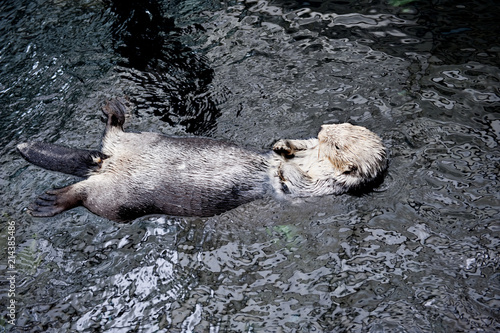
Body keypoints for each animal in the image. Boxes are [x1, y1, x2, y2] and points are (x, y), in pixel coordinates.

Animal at [17, 100, 386, 222]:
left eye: (337, 144)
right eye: (336, 128)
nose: (323, 129)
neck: (314, 161)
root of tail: (105, 162)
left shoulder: (317, 188)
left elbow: (289, 179)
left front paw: (283, 158)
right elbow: (295, 147)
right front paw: (282, 145)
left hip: (116, 202)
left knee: (83, 194)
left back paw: (46, 202)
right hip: (136, 139)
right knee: (112, 133)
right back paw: (113, 110)